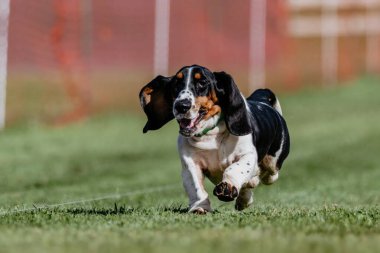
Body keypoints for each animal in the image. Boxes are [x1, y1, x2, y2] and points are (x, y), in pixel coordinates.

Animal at [140, 65, 290, 213]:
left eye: (202, 82)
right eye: (176, 83)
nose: (181, 106)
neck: (210, 135)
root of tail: (263, 101)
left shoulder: (248, 155)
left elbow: (235, 169)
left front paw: (227, 188)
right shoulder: (191, 164)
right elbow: (196, 187)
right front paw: (200, 207)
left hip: (273, 163)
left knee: (269, 175)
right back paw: (244, 199)